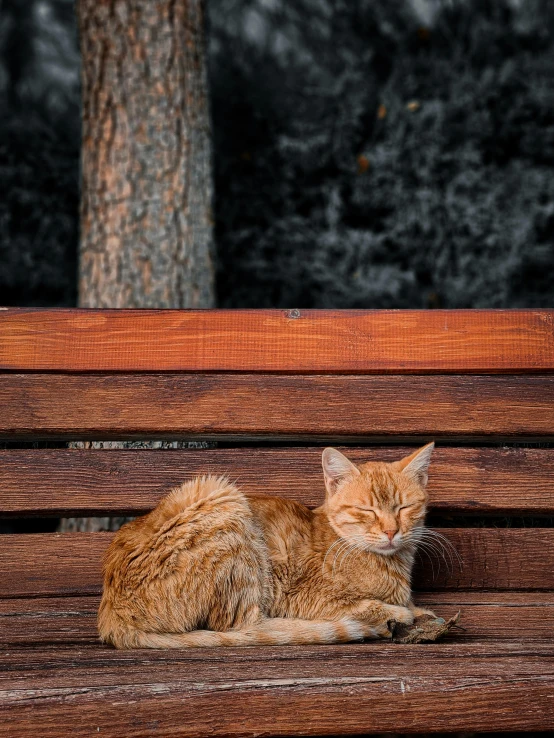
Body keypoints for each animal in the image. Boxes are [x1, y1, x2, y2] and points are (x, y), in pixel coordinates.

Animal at [100, 442, 436, 644]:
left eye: (403, 508)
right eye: (367, 510)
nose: (391, 531)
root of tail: (111, 612)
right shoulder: (306, 597)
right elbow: (365, 606)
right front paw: (399, 613)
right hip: (221, 497)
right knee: (244, 626)